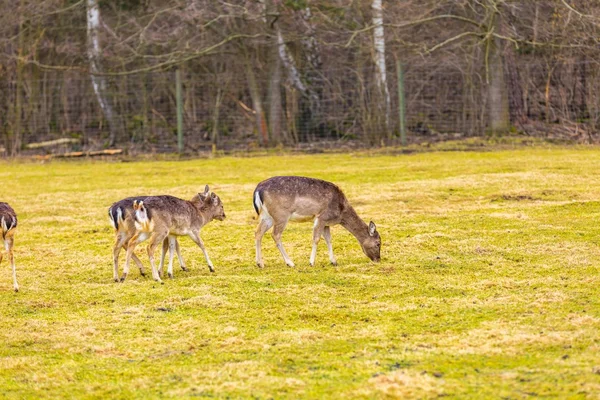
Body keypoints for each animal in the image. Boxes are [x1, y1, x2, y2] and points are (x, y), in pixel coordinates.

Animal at [252, 176, 380, 268]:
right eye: (378, 243)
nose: (378, 259)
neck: (341, 211)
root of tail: (258, 190)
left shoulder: (326, 222)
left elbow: (328, 239)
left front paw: (333, 261)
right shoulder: (321, 217)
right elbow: (316, 238)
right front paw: (311, 262)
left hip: (267, 216)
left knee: (258, 232)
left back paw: (260, 263)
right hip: (281, 215)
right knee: (275, 234)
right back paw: (290, 263)